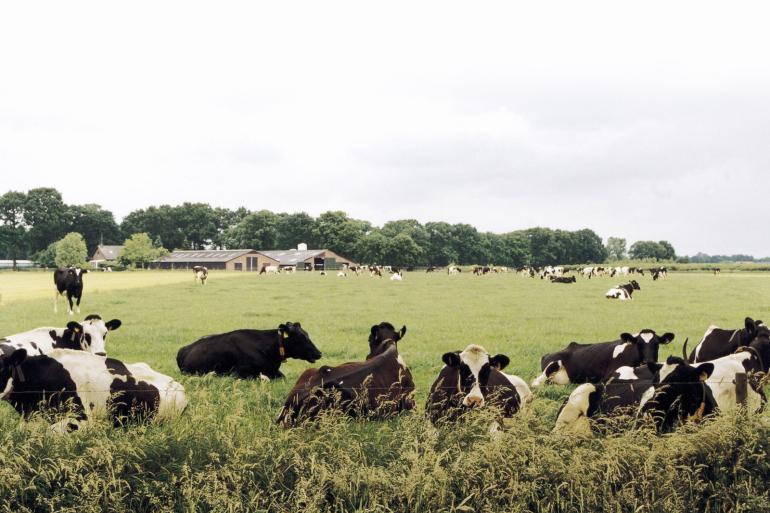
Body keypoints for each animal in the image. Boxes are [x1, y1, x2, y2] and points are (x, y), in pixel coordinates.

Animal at [176, 322, 320, 378]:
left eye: (307, 335)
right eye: (301, 338)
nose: (319, 353)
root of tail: (184, 349)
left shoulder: (274, 371)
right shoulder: (239, 372)